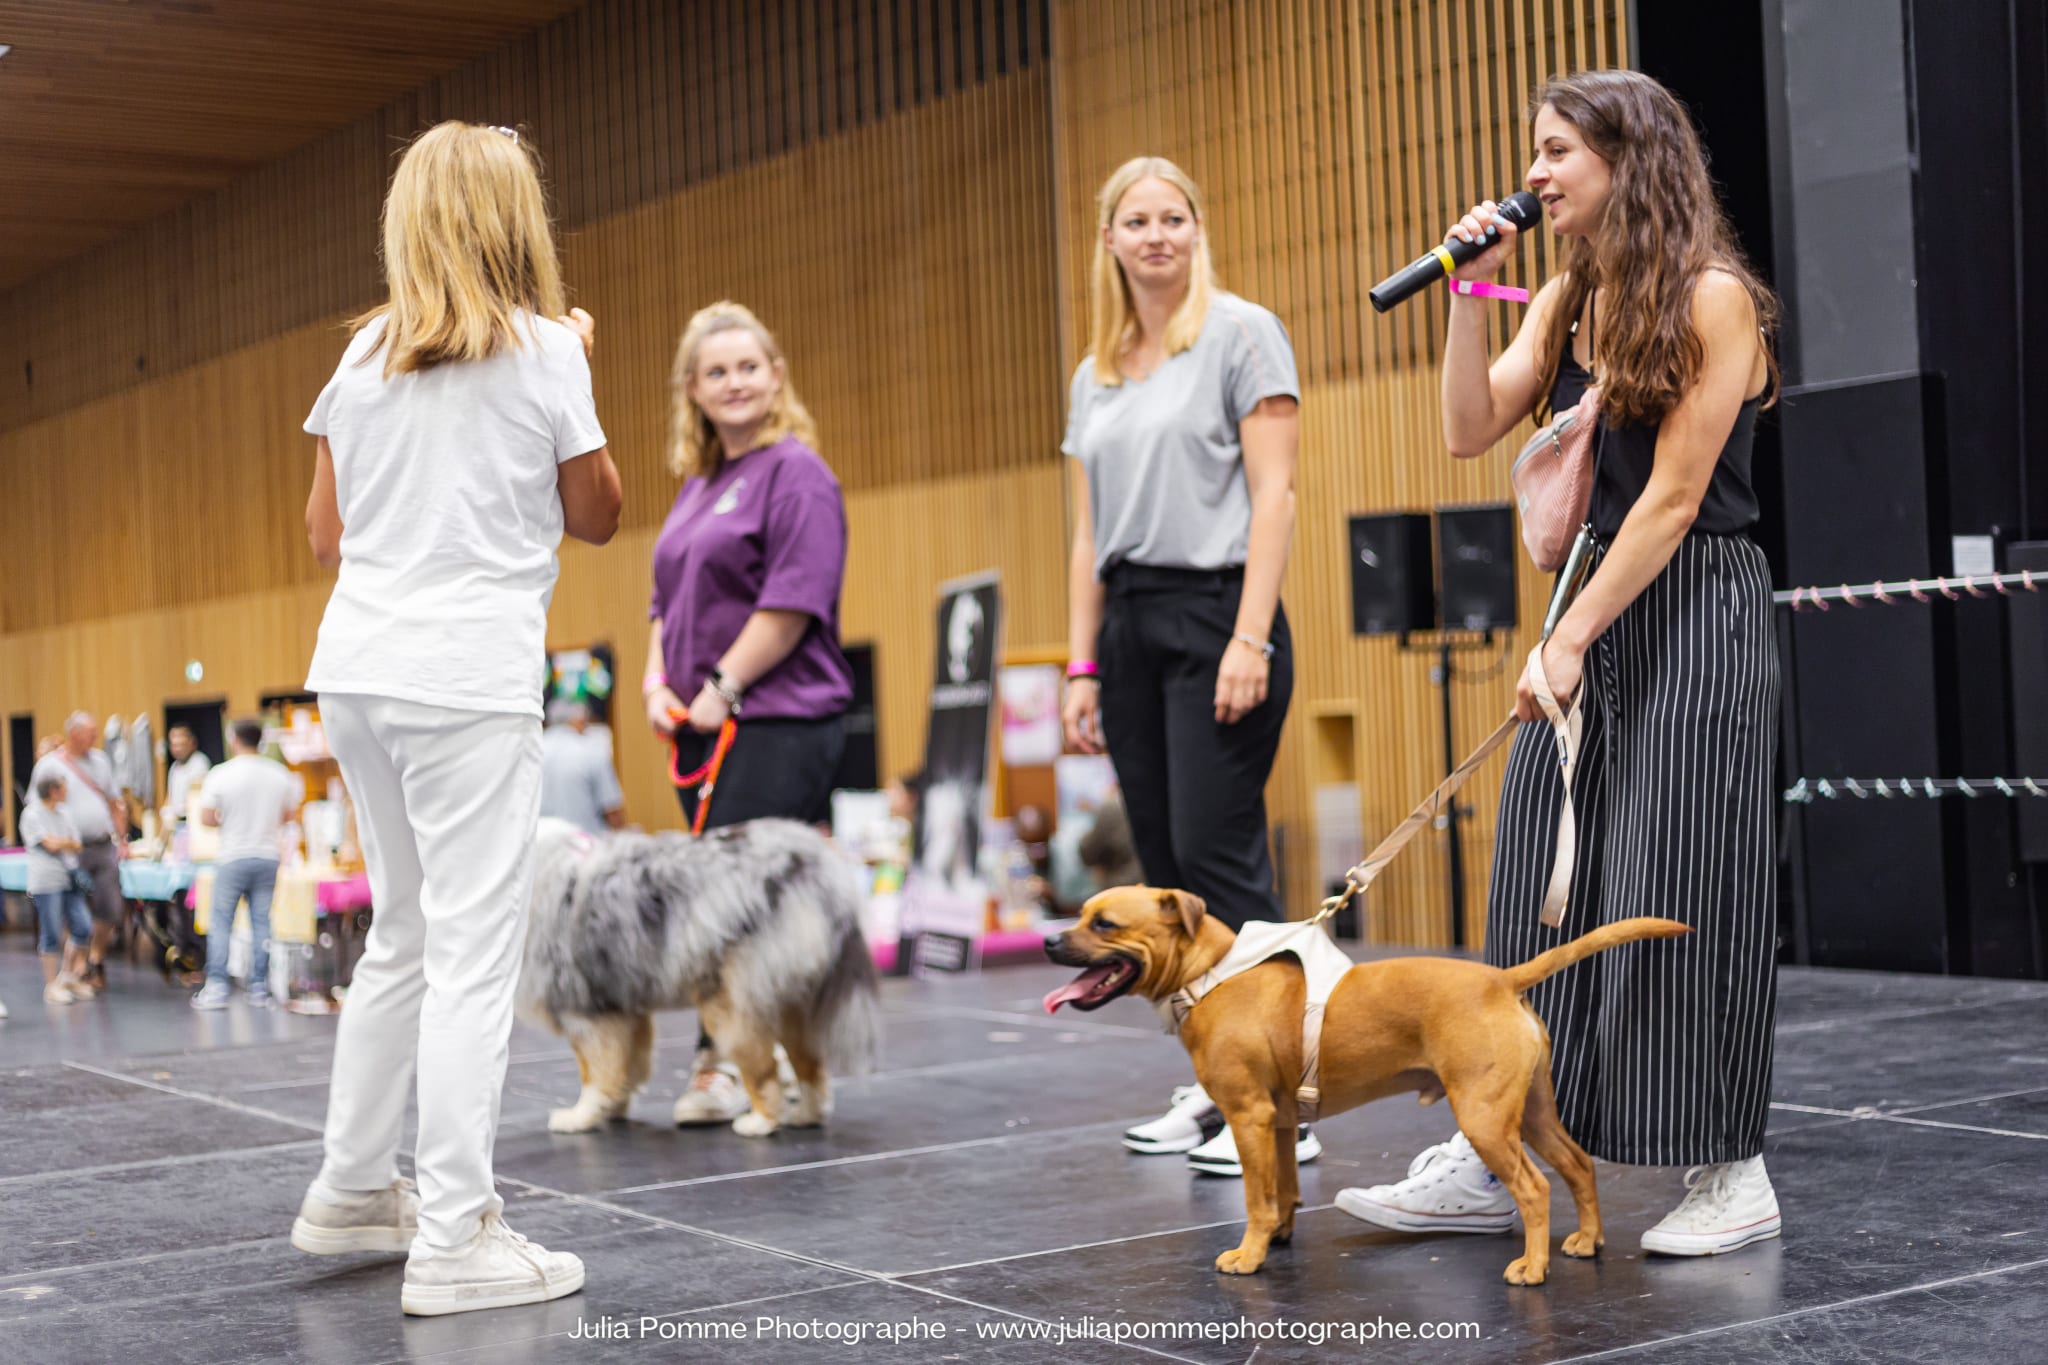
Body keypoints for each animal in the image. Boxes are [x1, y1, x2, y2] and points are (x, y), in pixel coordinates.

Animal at [1048, 892, 1687, 1285]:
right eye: (1081, 914)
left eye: (1104, 924)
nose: (1051, 941)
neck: (1211, 974)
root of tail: (1502, 981)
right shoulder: (1279, 1123)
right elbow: (1284, 1191)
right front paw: (1279, 1235)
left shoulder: (1248, 1117)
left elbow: (1255, 1198)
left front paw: (1249, 1255)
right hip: (1530, 1113)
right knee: (1578, 1165)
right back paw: (1587, 1240)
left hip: (1484, 1118)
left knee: (1534, 1188)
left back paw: (1532, 1268)